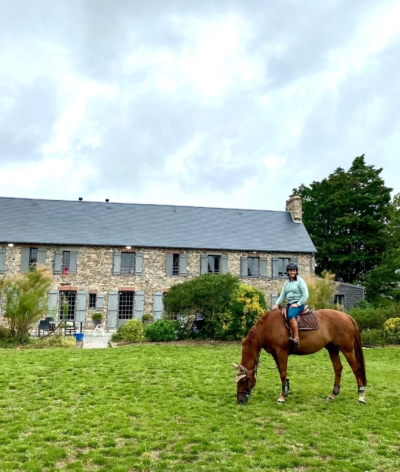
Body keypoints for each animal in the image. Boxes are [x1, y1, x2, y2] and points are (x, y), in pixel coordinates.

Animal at [233, 310, 368, 406]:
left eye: (243, 381)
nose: (240, 401)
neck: (267, 326)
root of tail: (346, 316)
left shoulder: (281, 352)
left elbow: (283, 373)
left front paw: (282, 397)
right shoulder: (275, 354)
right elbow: (281, 372)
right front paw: (286, 390)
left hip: (347, 350)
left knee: (356, 368)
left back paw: (361, 396)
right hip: (332, 349)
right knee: (338, 368)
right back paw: (332, 395)